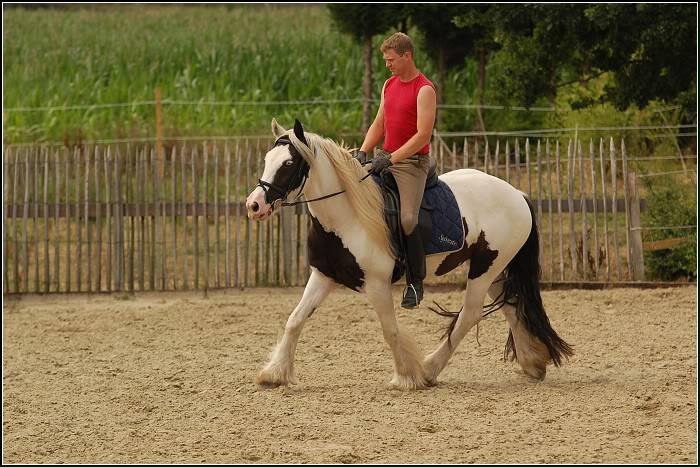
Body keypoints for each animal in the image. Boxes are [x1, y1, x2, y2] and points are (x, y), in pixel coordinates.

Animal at [243, 119, 572, 390]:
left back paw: (429, 369)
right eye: (267, 160)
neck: (347, 217)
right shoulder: (323, 276)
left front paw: (406, 375)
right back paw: (533, 362)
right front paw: (274, 374)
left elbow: (390, 330)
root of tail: (518, 194)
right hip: (493, 269)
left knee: (469, 315)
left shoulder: (376, 285)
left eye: (288, 163)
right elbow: (295, 320)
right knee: (511, 305)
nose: (254, 205)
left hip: (485, 269)